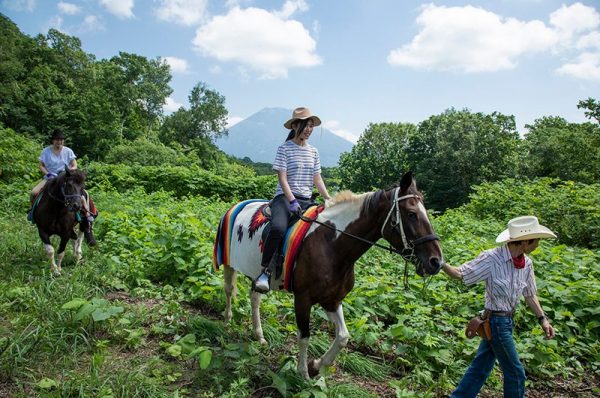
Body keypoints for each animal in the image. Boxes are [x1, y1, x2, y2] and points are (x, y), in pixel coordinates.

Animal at [218, 171, 442, 376]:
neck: (332, 244)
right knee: (229, 290)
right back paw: (227, 321)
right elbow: (304, 336)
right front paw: (302, 373)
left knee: (255, 298)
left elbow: (343, 337)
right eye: (411, 213)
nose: (436, 261)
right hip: (229, 263)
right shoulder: (303, 298)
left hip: (255, 274)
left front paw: (316, 366)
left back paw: (259, 335)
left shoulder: (332, 300)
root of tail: (237, 205)